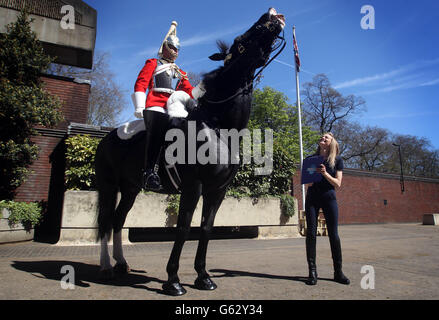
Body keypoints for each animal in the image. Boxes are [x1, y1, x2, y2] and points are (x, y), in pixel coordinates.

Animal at [97, 7, 286, 296]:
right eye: (241, 40)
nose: (271, 15)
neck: (219, 127)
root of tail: (106, 138)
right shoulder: (193, 186)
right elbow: (184, 229)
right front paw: (173, 280)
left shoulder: (217, 190)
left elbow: (206, 228)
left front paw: (203, 276)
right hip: (108, 185)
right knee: (106, 222)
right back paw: (106, 267)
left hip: (130, 188)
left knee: (118, 221)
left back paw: (121, 263)